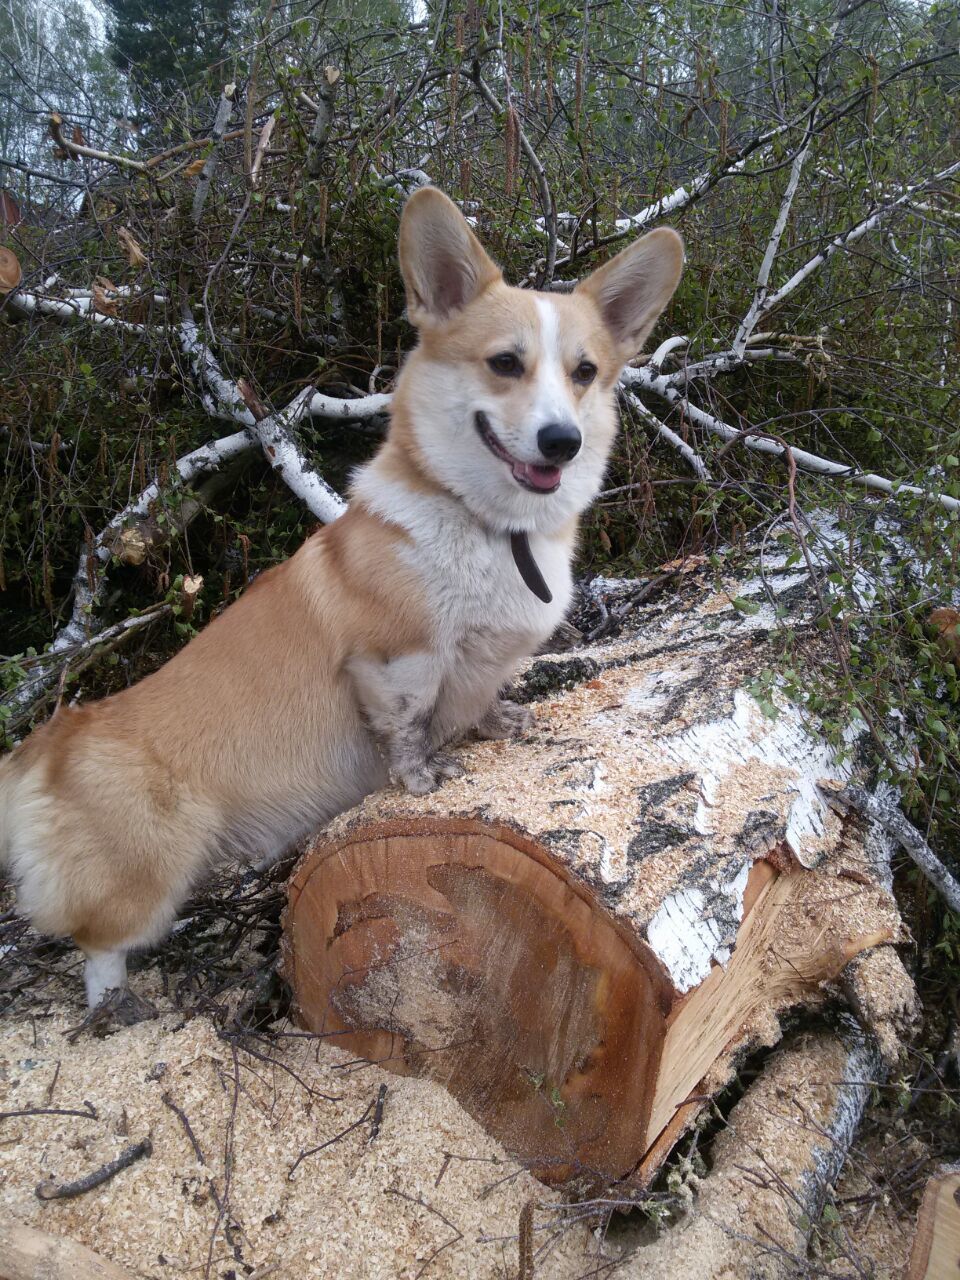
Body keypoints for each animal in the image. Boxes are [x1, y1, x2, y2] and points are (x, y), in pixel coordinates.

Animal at [0, 189, 686, 1008]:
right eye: (505, 364)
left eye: (585, 372)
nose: (562, 442)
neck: (490, 527)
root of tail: (43, 749)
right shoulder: (397, 659)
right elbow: (409, 724)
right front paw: (422, 778)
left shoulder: (483, 657)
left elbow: (483, 696)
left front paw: (499, 723)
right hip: (149, 877)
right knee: (98, 945)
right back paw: (114, 1009)